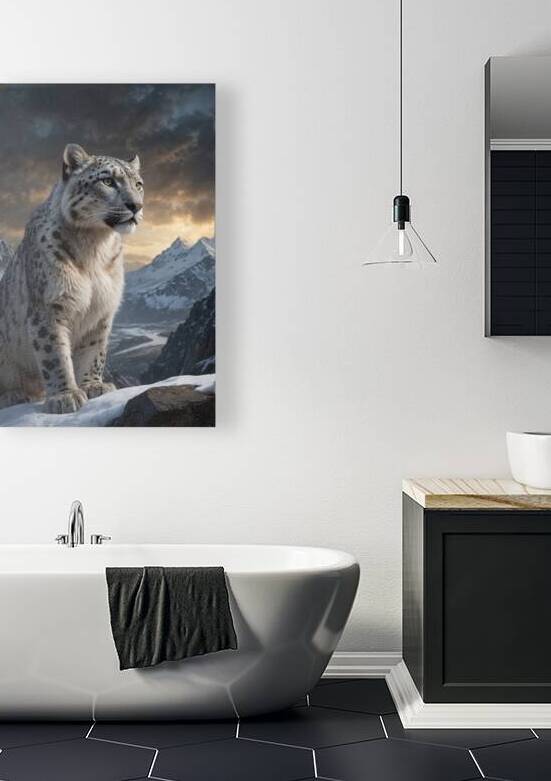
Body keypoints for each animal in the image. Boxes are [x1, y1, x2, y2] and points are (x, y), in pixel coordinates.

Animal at [0, 143, 144, 414]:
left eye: (138, 184)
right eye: (108, 181)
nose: (136, 206)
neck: (95, 247)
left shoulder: (102, 310)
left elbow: (94, 351)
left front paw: (94, 386)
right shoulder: (49, 307)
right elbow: (54, 354)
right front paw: (65, 396)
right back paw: (12, 395)